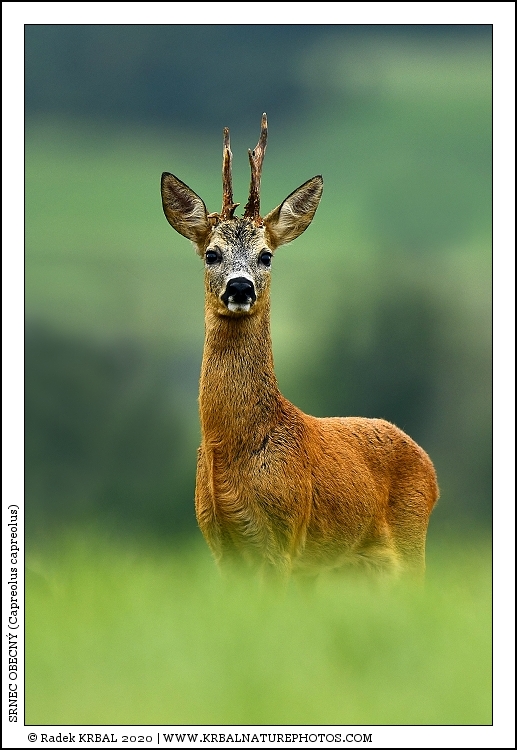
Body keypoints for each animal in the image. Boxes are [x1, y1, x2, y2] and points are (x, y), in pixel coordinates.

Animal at [161, 113, 439, 583]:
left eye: (266, 255)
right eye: (212, 254)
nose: (240, 287)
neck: (233, 447)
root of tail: (431, 467)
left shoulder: (284, 533)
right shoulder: (218, 541)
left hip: (410, 541)